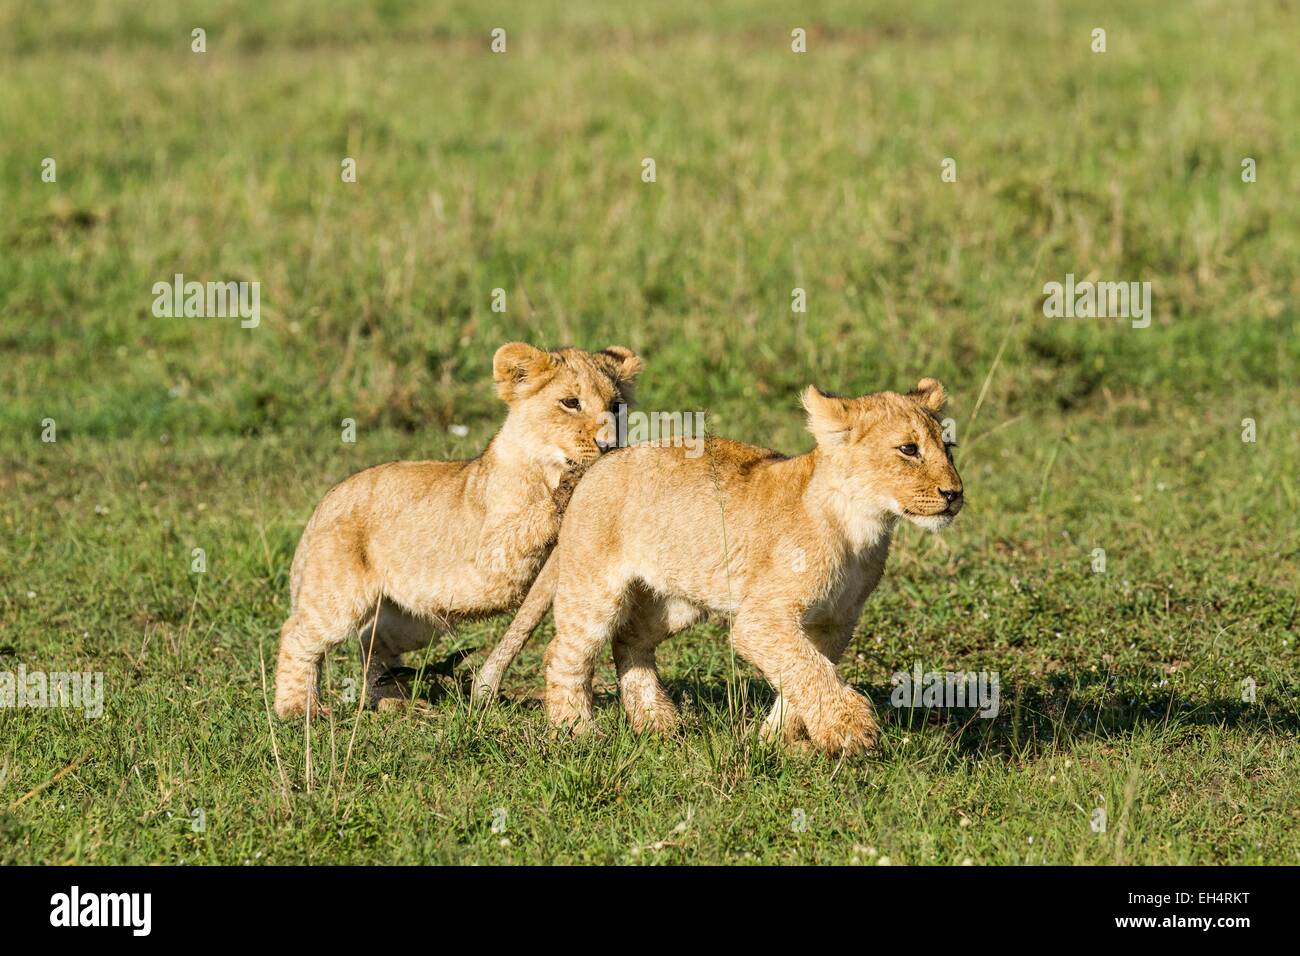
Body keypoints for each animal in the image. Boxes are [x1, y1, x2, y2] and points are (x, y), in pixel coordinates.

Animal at [272, 342, 642, 719]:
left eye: (617, 406)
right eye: (570, 402)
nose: (609, 444)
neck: (546, 466)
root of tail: (327, 500)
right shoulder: (491, 558)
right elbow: (536, 518)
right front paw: (566, 492)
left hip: (415, 619)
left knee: (371, 639)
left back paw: (392, 700)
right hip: (338, 597)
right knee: (297, 635)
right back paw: (297, 709)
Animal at [480, 378, 962, 754]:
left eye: (948, 448)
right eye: (908, 449)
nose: (954, 493)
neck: (863, 527)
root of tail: (599, 462)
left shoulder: (834, 623)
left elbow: (803, 672)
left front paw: (774, 740)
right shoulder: (762, 619)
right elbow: (807, 669)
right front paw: (850, 729)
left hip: (676, 599)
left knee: (629, 639)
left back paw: (657, 721)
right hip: (595, 587)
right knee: (564, 653)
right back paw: (576, 733)